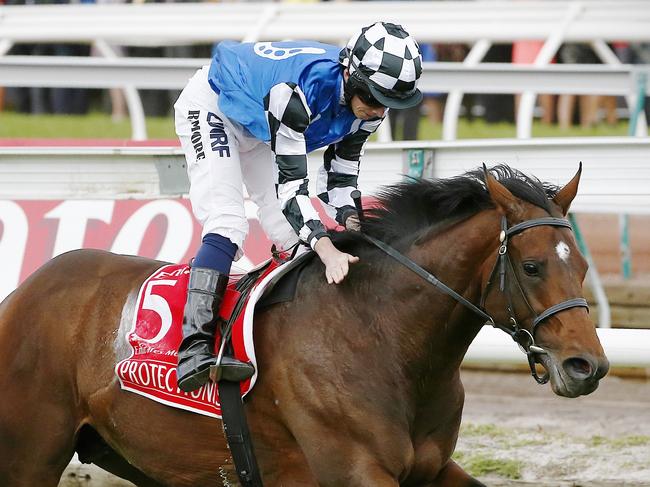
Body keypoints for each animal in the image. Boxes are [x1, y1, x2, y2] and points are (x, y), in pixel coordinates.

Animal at [1, 166, 608, 486]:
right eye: (532, 266)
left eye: (580, 264)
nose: (588, 367)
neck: (385, 337)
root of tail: (24, 292)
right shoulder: (355, 470)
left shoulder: (432, 470)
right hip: (30, 455)